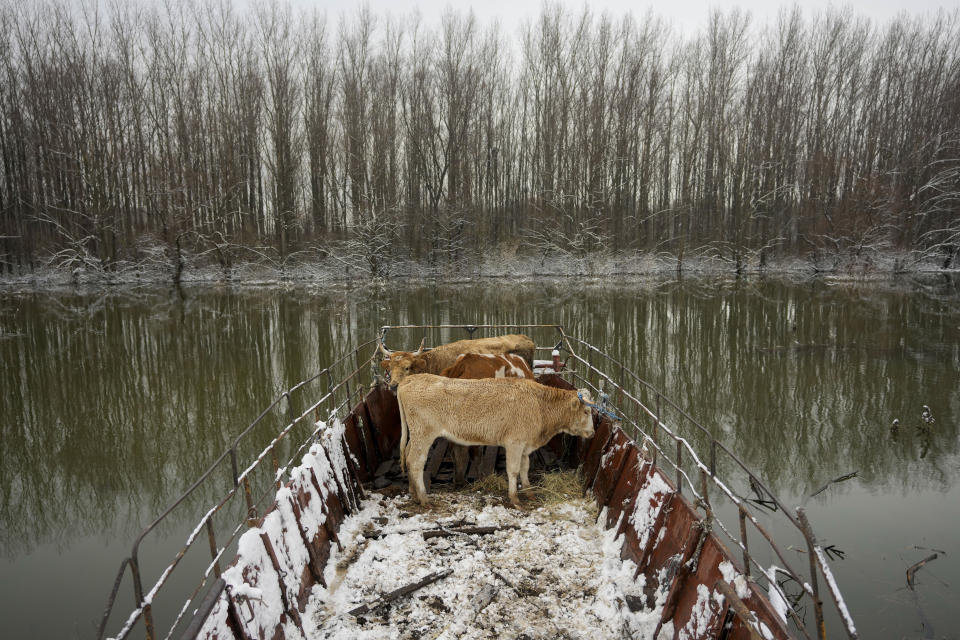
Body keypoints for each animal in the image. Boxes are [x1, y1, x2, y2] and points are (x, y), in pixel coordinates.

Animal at [396, 376, 592, 504]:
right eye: (586, 411)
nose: (592, 433)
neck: (538, 405)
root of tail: (410, 379)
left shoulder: (525, 445)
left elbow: (524, 469)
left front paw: (529, 493)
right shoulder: (514, 443)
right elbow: (513, 470)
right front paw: (515, 499)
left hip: (415, 435)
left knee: (408, 457)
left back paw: (414, 494)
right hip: (424, 434)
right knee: (416, 462)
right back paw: (424, 499)